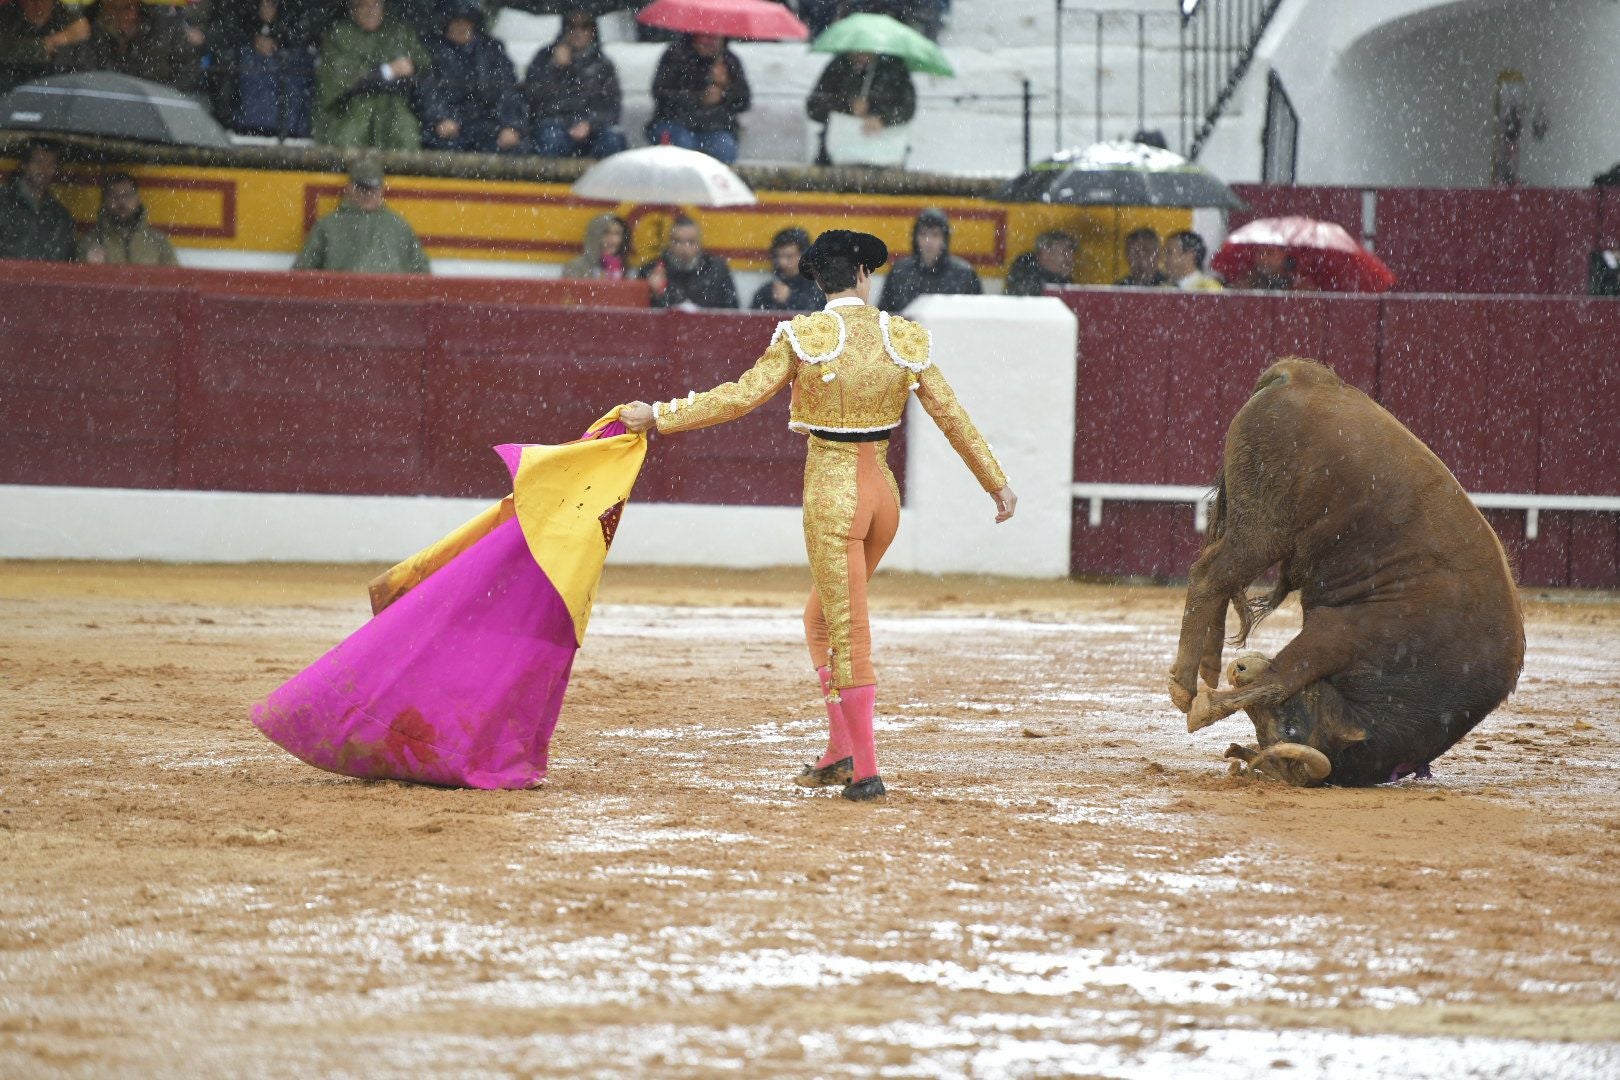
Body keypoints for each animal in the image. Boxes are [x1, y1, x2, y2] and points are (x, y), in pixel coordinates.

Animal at [1172, 359, 1522, 790]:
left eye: (1288, 731)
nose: (1240, 671)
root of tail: (1303, 375)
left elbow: (1277, 682)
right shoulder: (1341, 631)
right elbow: (1280, 679)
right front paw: (1203, 708)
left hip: (1247, 526)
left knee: (1218, 572)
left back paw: (1207, 666)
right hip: (1262, 531)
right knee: (1209, 574)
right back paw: (1184, 685)